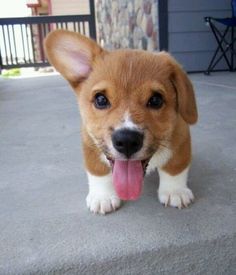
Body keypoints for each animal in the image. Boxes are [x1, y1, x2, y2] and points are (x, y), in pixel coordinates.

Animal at [44, 29, 197, 216]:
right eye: (100, 99)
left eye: (156, 100)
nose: (127, 141)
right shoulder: (90, 146)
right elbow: (98, 172)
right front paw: (102, 197)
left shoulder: (181, 140)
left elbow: (175, 168)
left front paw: (175, 192)